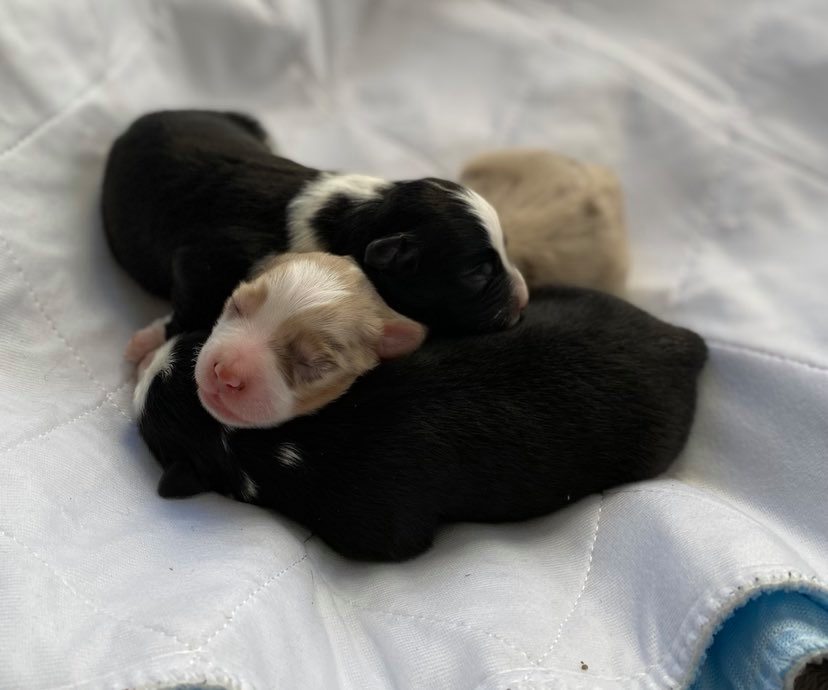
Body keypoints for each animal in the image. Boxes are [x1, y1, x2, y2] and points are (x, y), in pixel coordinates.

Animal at [103, 109, 528, 338]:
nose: (524, 298)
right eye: (478, 274)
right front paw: (157, 339)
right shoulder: (210, 257)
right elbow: (193, 304)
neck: (357, 216)